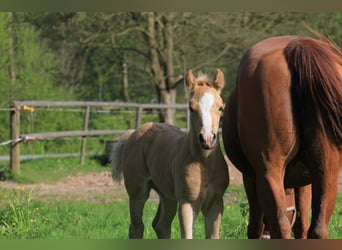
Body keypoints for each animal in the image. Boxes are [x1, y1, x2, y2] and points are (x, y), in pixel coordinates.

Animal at [112, 68, 228, 238]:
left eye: (221, 108)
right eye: (191, 108)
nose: (207, 139)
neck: (204, 164)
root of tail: (135, 132)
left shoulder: (215, 204)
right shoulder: (186, 203)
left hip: (167, 195)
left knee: (161, 225)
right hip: (138, 192)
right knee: (136, 228)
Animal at [222, 35, 342, 238]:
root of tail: (296, 45)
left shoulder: (251, 178)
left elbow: (255, 226)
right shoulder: (304, 182)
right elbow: (301, 224)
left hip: (269, 172)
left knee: (280, 226)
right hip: (326, 173)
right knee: (317, 228)